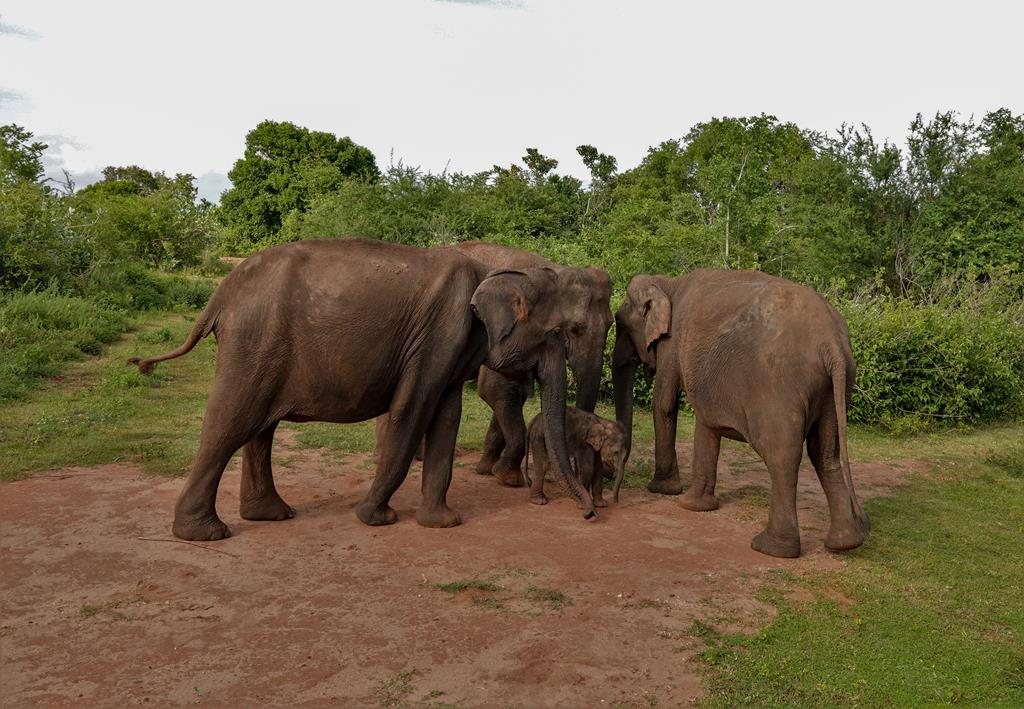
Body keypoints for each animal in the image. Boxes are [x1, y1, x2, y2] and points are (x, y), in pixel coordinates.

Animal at [129, 235, 598, 540]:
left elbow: (446, 417)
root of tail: (220, 294)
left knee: (261, 428)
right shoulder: (437, 335)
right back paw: (205, 534)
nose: (590, 515)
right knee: (232, 422)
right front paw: (376, 518)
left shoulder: (450, 348)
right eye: (560, 333)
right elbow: (412, 410)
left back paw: (271, 515)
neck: (493, 270)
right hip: (254, 341)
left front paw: (444, 523)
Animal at [610, 268, 868, 557]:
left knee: (781, 456)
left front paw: (663, 491)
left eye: (619, 323)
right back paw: (845, 542)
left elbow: (664, 404)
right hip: (835, 390)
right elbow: (706, 422)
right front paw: (691, 505)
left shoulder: (673, 342)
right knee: (825, 453)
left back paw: (770, 548)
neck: (668, 283)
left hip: (779, 388)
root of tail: (830, 342)